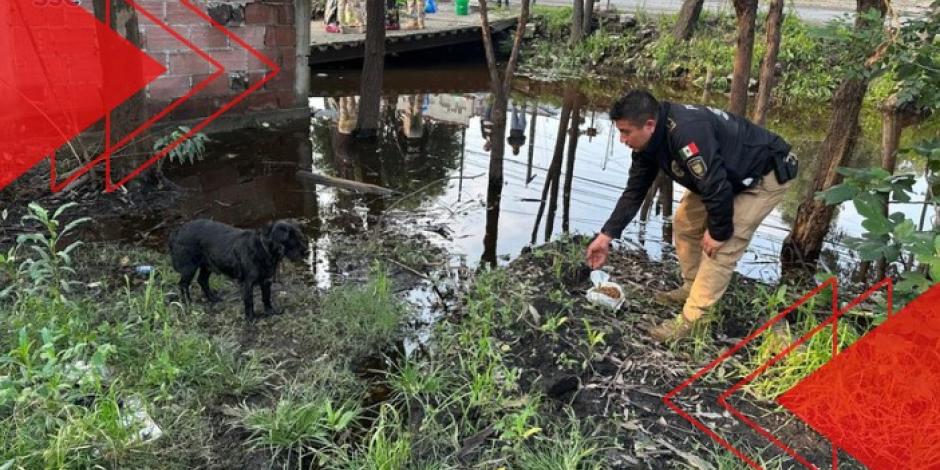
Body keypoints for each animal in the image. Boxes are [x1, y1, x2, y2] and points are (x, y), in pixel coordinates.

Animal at [169, 219, 308, 322]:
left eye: (299, 236)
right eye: (290, 238)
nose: (306, 252)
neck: (263, 250)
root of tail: (177, 231)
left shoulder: (266, 280)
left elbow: (266, 297)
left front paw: (270, 311)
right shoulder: (247, 283)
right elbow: (249, 302)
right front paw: (251, 319)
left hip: (207, 265)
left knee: (202, 280)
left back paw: (213, 298)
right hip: (189, 268)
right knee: (183, 284)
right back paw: (188, 303)